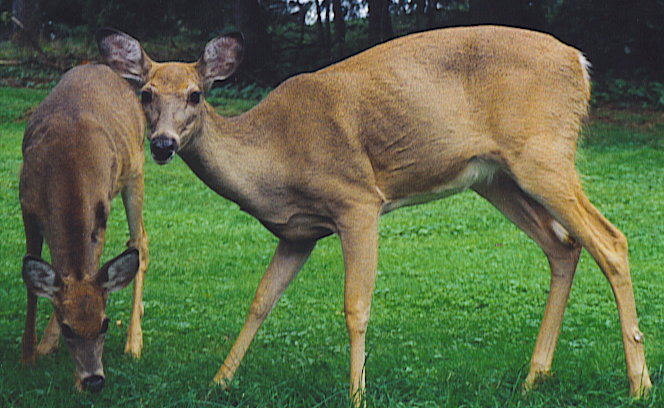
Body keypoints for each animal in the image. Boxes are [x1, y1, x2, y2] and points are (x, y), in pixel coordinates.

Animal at [19, 63, 148, 392]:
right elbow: (32, 285)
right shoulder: (27, 207)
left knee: (139, 241)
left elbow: (90, 267)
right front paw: (29, 354)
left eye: (104, 324)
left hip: (135, 171)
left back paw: (134, 342)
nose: (94, 380)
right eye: (68, 330)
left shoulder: (99, 212)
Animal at [97, 25, 651, 405]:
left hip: (542, 153)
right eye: (145, 94)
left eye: (195, 94)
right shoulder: (297, 234)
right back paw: (534, 378)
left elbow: (355, 305)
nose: (163, 144)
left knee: (612, 241)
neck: (274, 158)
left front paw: (357, 394)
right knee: (564, 245)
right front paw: (219, 381)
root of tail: (578, 62)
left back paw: (638, 383)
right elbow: (259, 301)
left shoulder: (357, 201)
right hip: (495, 178)